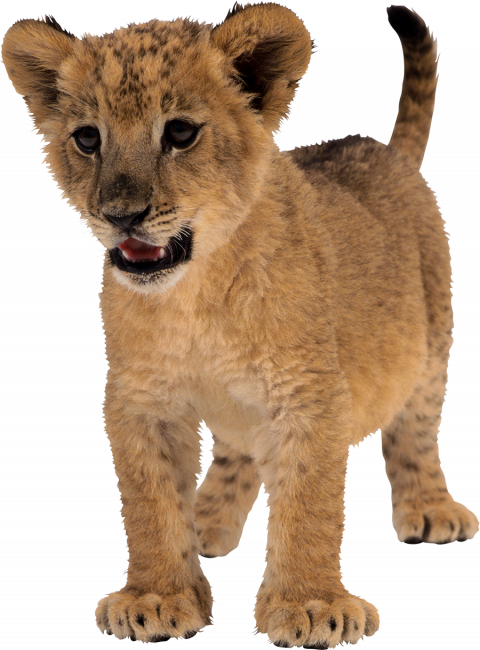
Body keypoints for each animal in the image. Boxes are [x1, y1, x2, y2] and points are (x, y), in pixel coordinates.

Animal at [2, 2, 478, 647]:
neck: (195, 296)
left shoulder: (311, 394)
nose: (121, 215)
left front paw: (309, 606)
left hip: (430, 338)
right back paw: (206, 522)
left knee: (416, 426)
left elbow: (308, 504)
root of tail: (384, 150)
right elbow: (150, 503)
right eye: (88, 138)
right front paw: (157, 598)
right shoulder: (140, 398)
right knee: (235, 452)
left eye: (180, 133)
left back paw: (430, 508)